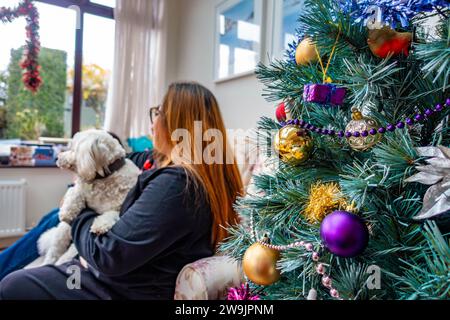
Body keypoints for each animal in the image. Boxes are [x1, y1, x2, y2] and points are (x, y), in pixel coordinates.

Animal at [38, 129, 141, 264]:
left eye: (72, 149)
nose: (57, 157)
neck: (103, 178)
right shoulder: (78, 187)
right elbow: (75, 194)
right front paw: (67, 212)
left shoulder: (120, 207)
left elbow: (112, 214)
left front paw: (101, 225)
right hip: (62, 232)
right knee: (54, 252)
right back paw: (49, 261)